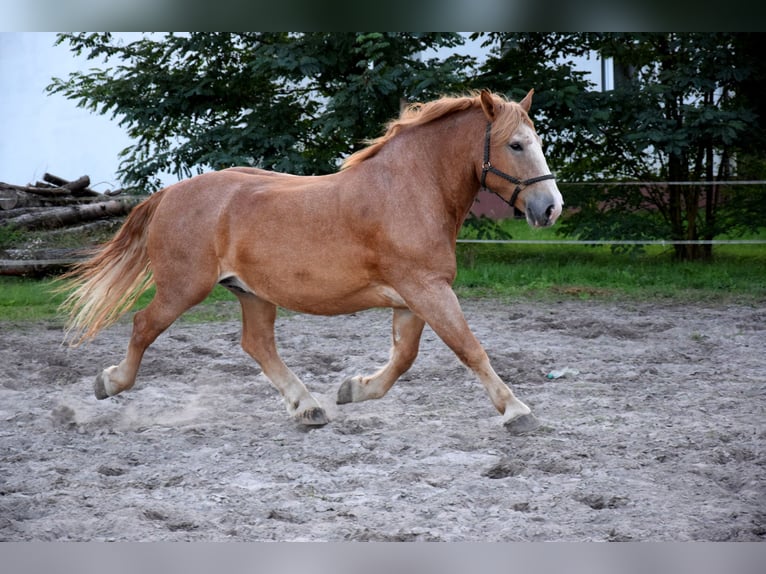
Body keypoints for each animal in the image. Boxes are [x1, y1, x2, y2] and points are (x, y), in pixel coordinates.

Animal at [60, 89, 563, 434]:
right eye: (516, 145)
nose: (551, 208)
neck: (410, 190)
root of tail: (168, 193)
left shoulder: (414, 297)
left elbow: (404, 357)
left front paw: (353, 390)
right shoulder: (426, 289)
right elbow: (468, 348)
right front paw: (516, 410)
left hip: (252, 293)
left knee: (257, 344)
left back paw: (309, 406)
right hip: (184, 288)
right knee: (144, 325)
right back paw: (109, 383)